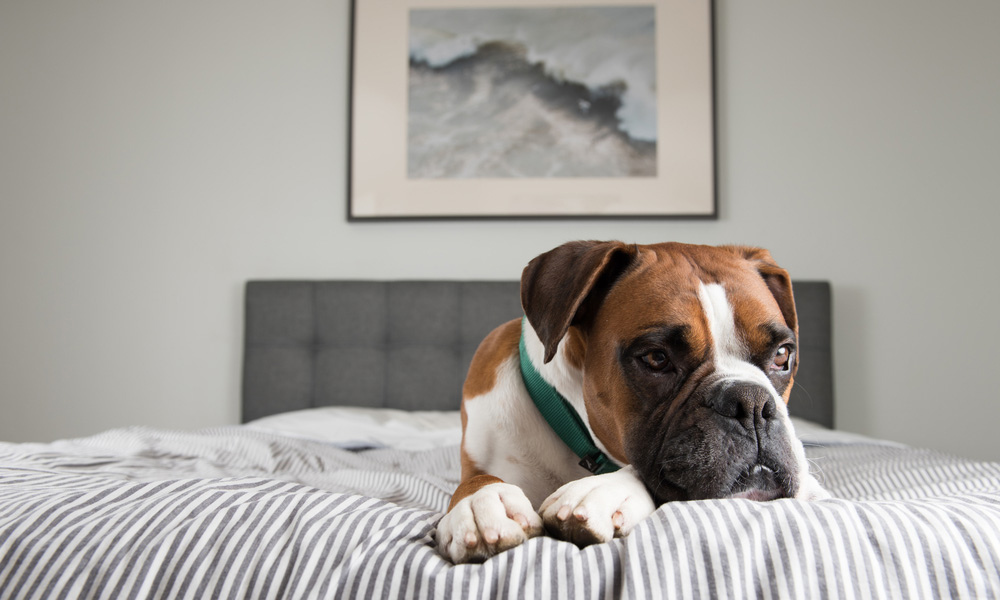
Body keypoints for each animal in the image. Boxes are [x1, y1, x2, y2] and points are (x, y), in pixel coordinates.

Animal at [438, 240, 828, 564]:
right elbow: (477, 480)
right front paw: (480, 504)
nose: (751, 403)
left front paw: (603, 491)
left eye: (782, 355)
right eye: (656, 358)